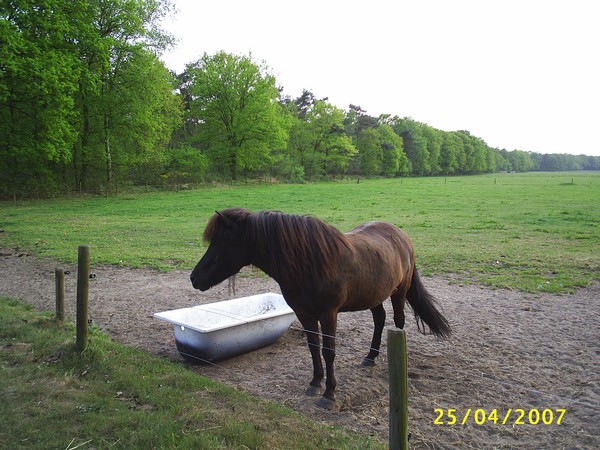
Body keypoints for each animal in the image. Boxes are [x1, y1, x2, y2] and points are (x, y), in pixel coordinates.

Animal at [191, 209, 450, 410]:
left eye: (221, 243)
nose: (194, 277)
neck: (308, 264)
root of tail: (401, 235)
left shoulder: (329, 314)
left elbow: (328, 351)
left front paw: (329, 394)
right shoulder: (304, 314)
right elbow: (313, 348)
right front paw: (315, 383)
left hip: (399, 291)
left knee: (398, 321)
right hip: (373, 294)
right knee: (379, 319)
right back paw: (370, 357)